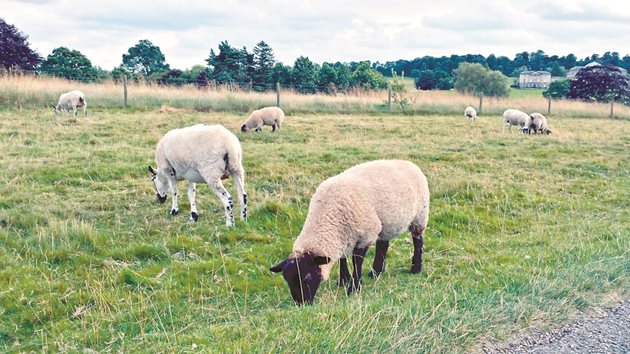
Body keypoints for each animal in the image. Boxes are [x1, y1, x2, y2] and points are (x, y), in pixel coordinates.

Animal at [270, 160, 432, 304]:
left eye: (308, 276)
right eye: (287, 279)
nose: (301, 302)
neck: (327, 214)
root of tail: (409, 163)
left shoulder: (365, 234)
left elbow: (356, 261)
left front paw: (354, 287)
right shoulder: (343, 235)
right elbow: (342, 258)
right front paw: (343, 280)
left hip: (419, 215)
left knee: (418, 241)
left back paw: (415, 268)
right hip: (385, 223)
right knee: (383, 245)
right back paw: (376, 272)